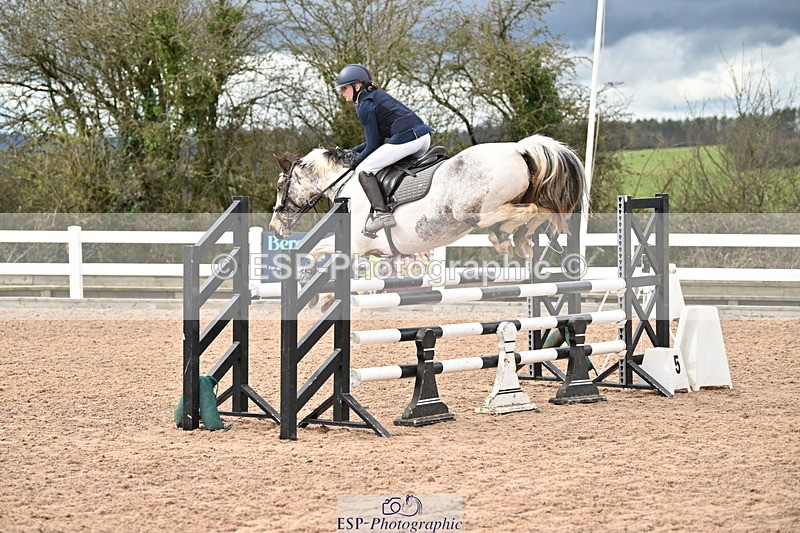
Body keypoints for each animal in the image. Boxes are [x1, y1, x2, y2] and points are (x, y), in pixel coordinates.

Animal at [269, 134, 585, 262]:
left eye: (280, 186)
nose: (274, 228)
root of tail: (518, 148)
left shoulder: (354, 246)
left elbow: (316, 250)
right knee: (540, 210)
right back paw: (516, 241)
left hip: (476, 211)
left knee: (531, 210)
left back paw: (506, 238)